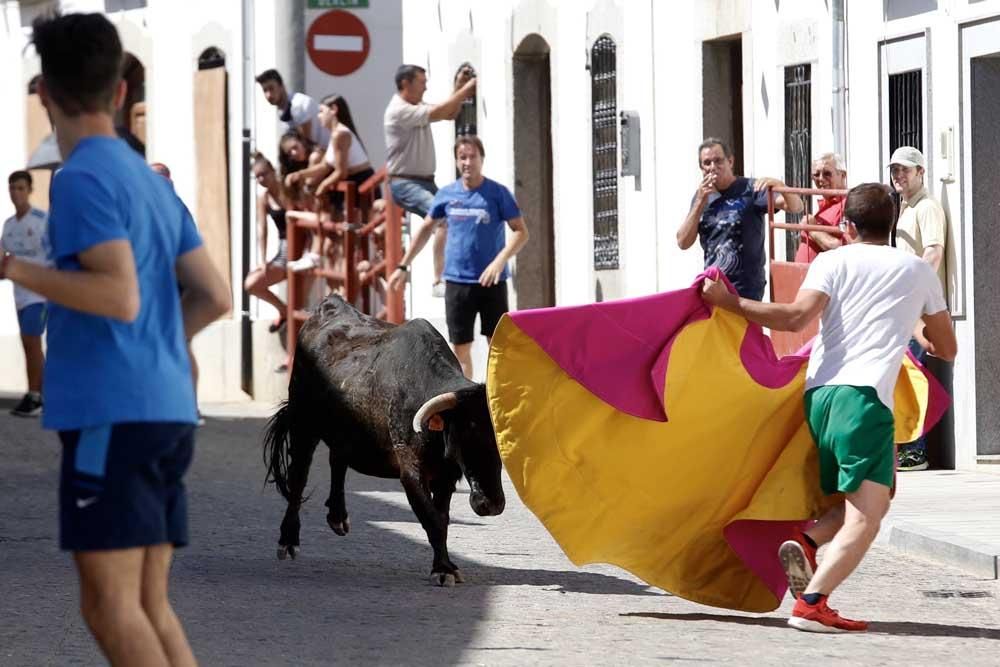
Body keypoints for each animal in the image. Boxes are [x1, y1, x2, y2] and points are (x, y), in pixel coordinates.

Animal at [264, 296, 504, 584]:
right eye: (468, 431)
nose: (491, 504)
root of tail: (329, 305)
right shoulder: (412, 471)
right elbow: (433, 520)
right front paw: (444, 569)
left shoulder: (446, 476)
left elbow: (442, 519)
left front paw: (443, 565)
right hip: (304, 424)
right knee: (299, 476)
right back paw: (288, 540)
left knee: (337, 460)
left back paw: (337, 517)